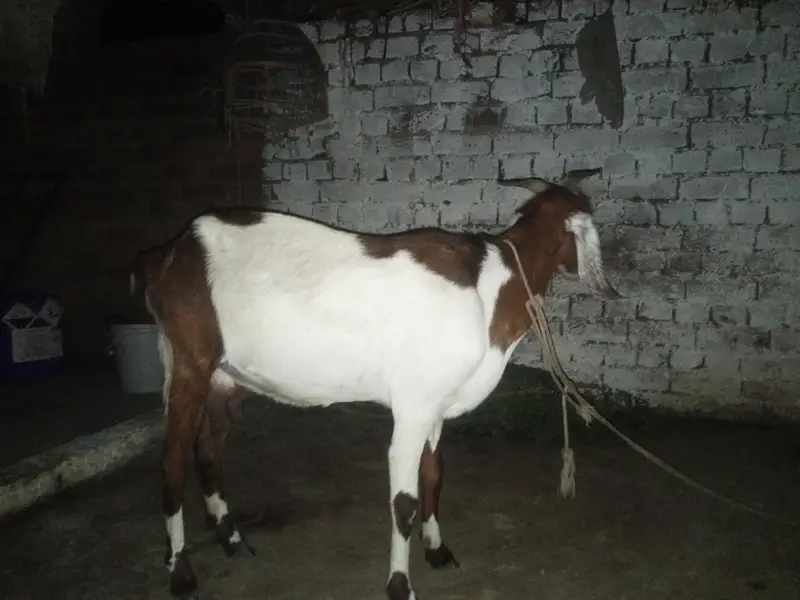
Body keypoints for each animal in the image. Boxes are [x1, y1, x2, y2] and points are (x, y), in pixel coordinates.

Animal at [135, 174, 618, 600]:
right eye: (591, 226)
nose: (607, 285)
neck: (489, 289)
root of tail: (167, 255)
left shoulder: (435, 401)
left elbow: (434, 475)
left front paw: (437, 549)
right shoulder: (412, 404)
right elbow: (403, 501)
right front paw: (400, 586)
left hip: (225, 374)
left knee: (207, 451)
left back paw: (232, 539)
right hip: (189, 363)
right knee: (172, 463)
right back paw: (180, 571)